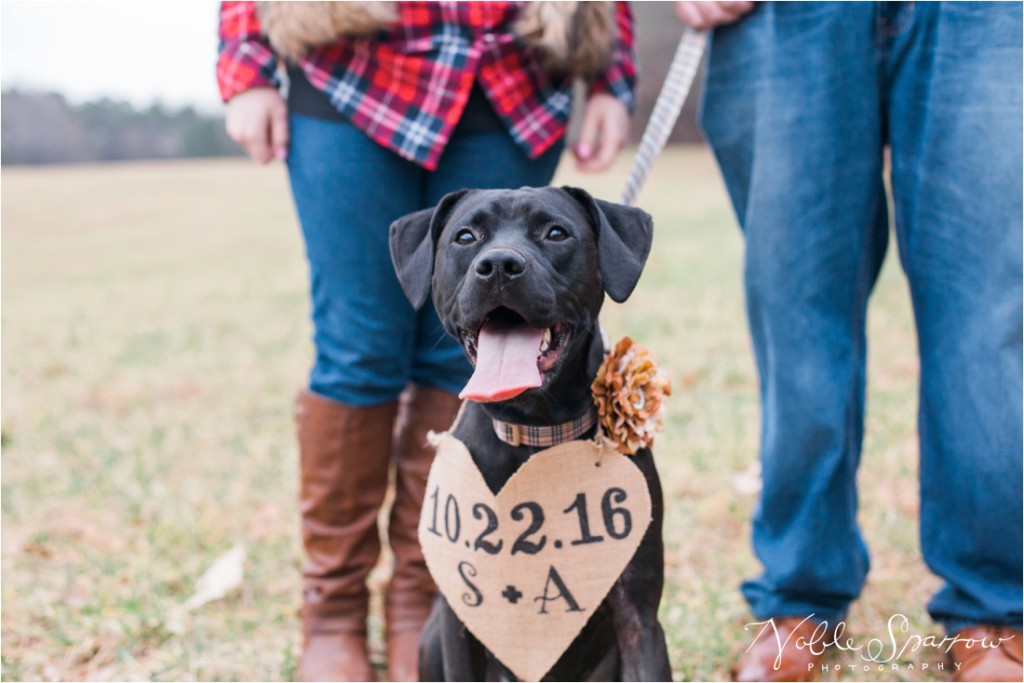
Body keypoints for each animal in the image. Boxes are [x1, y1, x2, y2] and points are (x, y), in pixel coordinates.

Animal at [387, 184, 667, 679]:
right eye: (465, 236)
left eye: (556, 233)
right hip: (429, 639)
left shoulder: (640, 614)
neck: (533, 430)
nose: (499, 265)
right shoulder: (459, 614)